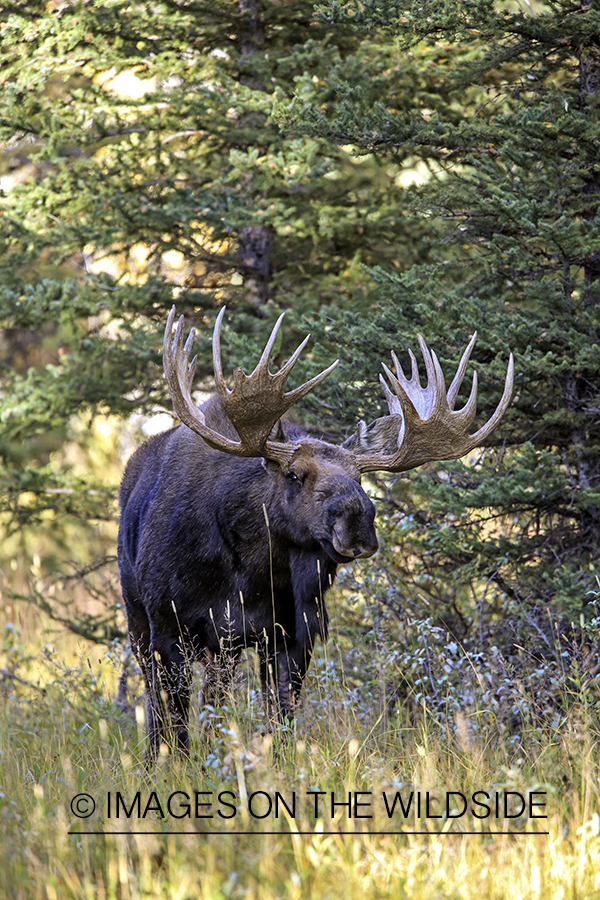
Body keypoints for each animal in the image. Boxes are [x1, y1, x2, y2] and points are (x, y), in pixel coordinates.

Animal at [119, 310, 512, 760]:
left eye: (360, 477)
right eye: (294, 474)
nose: (357, 523)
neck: (251, 571)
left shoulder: (293, 635)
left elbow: (280, 720)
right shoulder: (169, 629)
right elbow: (175, 723)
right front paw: (173, 766)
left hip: (223, 650)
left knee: (216, 696)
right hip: (138, 619)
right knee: (157, 703)